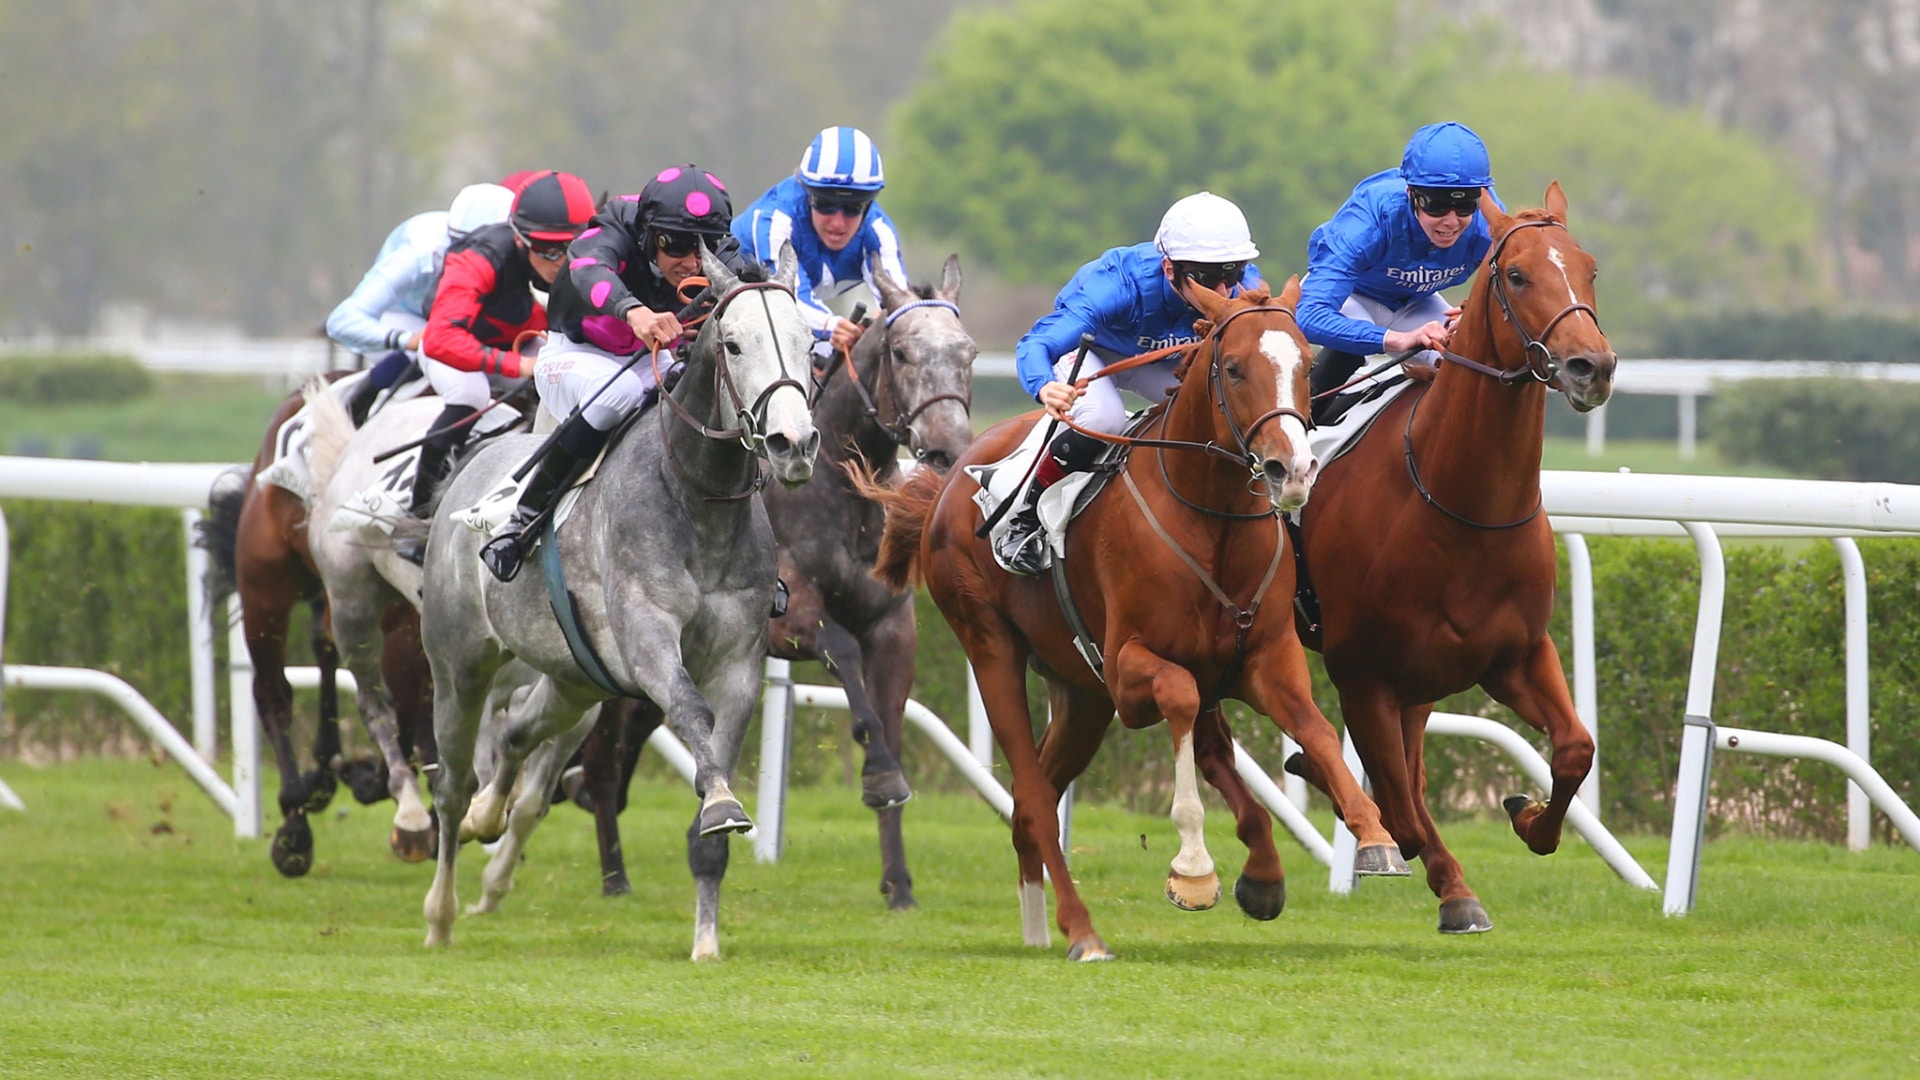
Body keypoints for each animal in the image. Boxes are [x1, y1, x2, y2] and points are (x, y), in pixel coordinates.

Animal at [416, 247, 814, 953]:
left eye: (809, 343)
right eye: (734, 345)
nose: (793, 444)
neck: (698, 501)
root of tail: (476, 459)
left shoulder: (738, 663)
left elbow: (715, 771)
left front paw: (706, 942)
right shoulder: (649, 637)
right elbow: (690, 711)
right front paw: (721, 804)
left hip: (577, 679)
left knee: (516, 734)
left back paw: (491, 818)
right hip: (459, 667)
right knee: (453, 785)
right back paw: (441, 913)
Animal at [864, 278, 1405, 957]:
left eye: (1307, 365)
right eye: (1234, 368)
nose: (1294, 469)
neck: (1212, 518)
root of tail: (946, 483)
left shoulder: (1262, 658)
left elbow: (1316, 730)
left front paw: (1373, 837)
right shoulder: (1128, 673)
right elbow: (1179, 700)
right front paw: (1194, 870)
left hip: (1079, 695)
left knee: (1041, 796)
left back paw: (1043, 925)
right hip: (992, 649)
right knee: (1034, 794)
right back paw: (1082, 930)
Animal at [1297, 180, 1612, 930]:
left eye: (1590, 269)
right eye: (1517, 275)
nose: (1592, 367)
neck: (1465, 511)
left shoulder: (1517, 654)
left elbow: (1575, 749)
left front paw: (1528, 817)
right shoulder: (1361, 674)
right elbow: (1405, 816)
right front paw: (1454, 890)